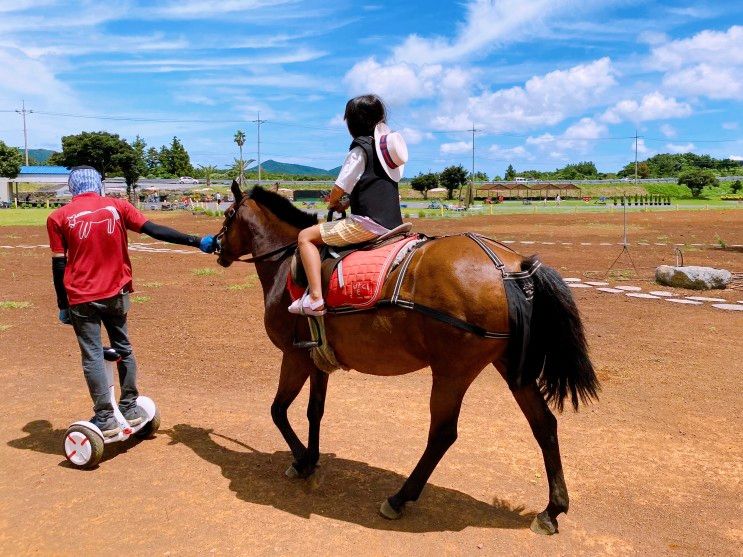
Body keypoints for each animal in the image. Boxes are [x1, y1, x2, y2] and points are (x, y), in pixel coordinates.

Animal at [215, 182, 600, 536]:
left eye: (228, 214)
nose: (216, 246)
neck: (288, 265)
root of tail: (512, 266)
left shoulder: (294, 357)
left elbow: (278, 410)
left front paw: (301, 460)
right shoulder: (316, 362)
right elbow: (314, 412)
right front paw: (310, 458)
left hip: (452, 372)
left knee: (443, 434)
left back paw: (399, 498)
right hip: (510, 369)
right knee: (544, 425)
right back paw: (551, 510)